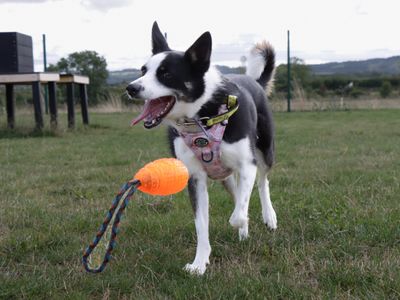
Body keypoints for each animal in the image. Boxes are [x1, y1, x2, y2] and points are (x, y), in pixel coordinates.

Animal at [126, 21, 276, 274]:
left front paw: (241, 220)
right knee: (237, 191)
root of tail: (254, 81)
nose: (131, 88)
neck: (201, 116)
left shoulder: (247, 164)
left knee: (262, 182)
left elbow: (240, 210)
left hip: (265, 150)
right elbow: (201, 224)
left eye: (166, 73)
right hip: (225, 175)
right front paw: (199, 263)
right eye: (143, 70)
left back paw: (269, 217)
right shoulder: (195, 177)